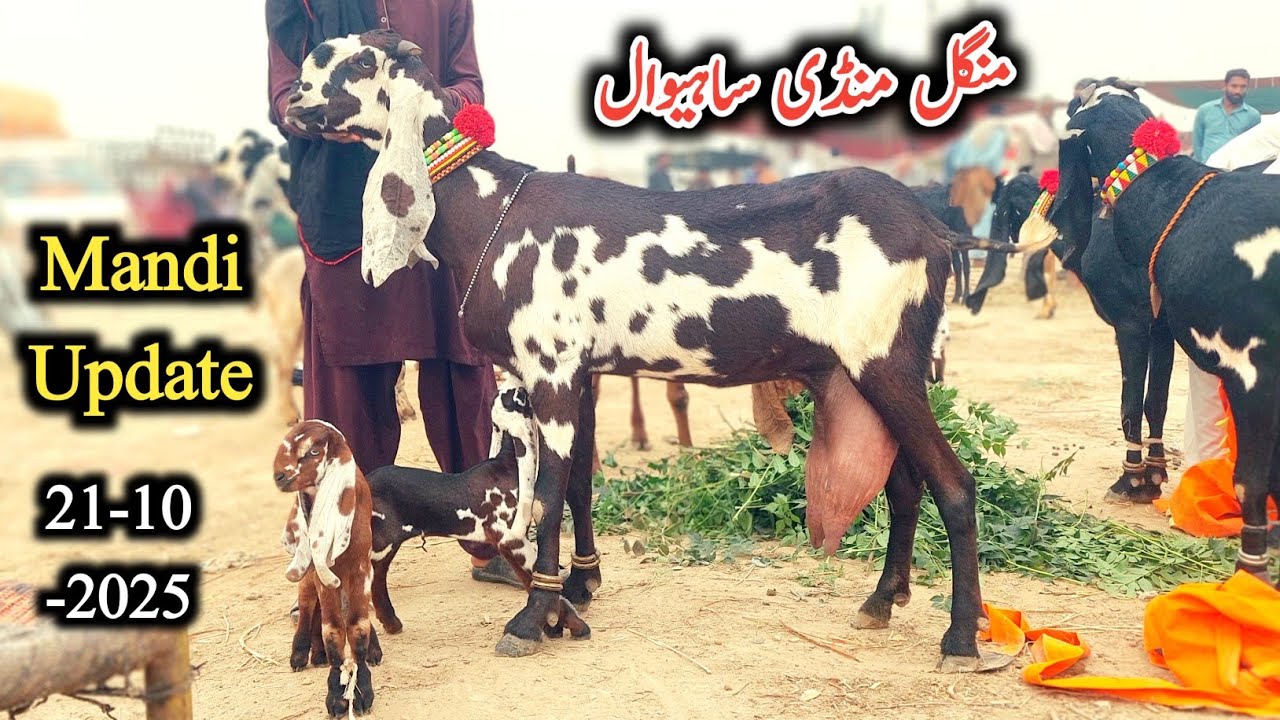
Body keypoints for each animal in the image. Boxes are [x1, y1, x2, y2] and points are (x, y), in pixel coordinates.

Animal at [275, 420, 377, 717]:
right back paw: (301, 653)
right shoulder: (322, 575)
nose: (279, 476)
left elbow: (358, 627)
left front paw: (362, 690)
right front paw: (336, 696)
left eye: (313, 451)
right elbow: (332, 630)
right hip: (310, 572)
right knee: (308, 602)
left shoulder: (361, 569)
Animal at [283, 30, 1052, 671]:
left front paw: (533, 618)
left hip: (886, 362)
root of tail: (935, 228)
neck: (492, 209)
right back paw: (880, 602)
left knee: (953, 485)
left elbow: (549, 495)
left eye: (351, 60)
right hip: (865, 374)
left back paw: (959, 639)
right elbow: (582, 483)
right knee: (904, 485)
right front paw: (579, 590)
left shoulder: (551, 369)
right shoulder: (578, 373)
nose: (290, 101)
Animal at [1026, 80, 1280, 585]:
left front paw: (1132, 478)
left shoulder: (1142, 327)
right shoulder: (1161, 327)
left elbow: (1132, 403)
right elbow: (1155, 401)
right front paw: (1155, 474)